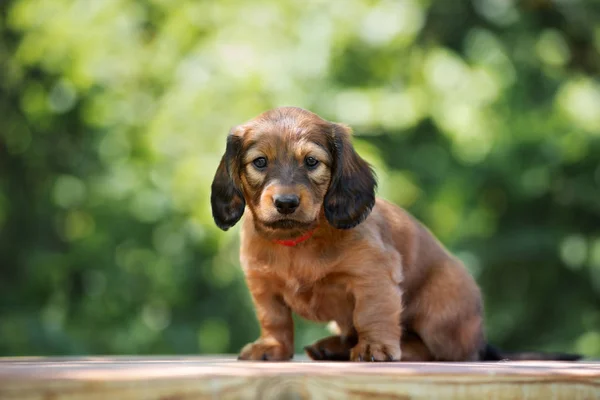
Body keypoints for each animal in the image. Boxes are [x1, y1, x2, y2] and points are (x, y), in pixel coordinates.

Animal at [212, 106, 580, 362]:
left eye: (312, 162)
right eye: (260, 162)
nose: (286, 203)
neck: (298, 241)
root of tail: (482, 342)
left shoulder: (373, 274)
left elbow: (371, 313)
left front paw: (374, 347)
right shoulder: (263, 285)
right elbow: (274, 319)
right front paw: (272, 346)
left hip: (439, 309)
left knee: (436, 351)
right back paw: (333, 347)